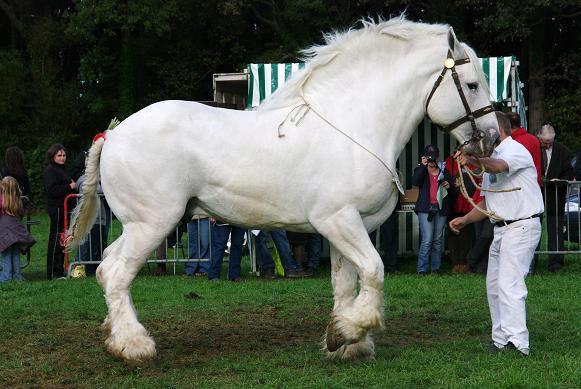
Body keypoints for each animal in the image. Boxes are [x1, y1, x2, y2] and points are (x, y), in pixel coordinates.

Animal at [68, 15, 496, 360]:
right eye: (473, 84)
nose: (490, 138)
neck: (355, 125)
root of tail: (114, 133)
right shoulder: (339, 220)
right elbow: (374, 271)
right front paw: (350, 331)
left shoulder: (345, 227)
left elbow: (346, 285)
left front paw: (346, 342)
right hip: (153, 223)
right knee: (117, 273)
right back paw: (134, 346)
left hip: (140, 225)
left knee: (105, 266)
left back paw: (115, 337)